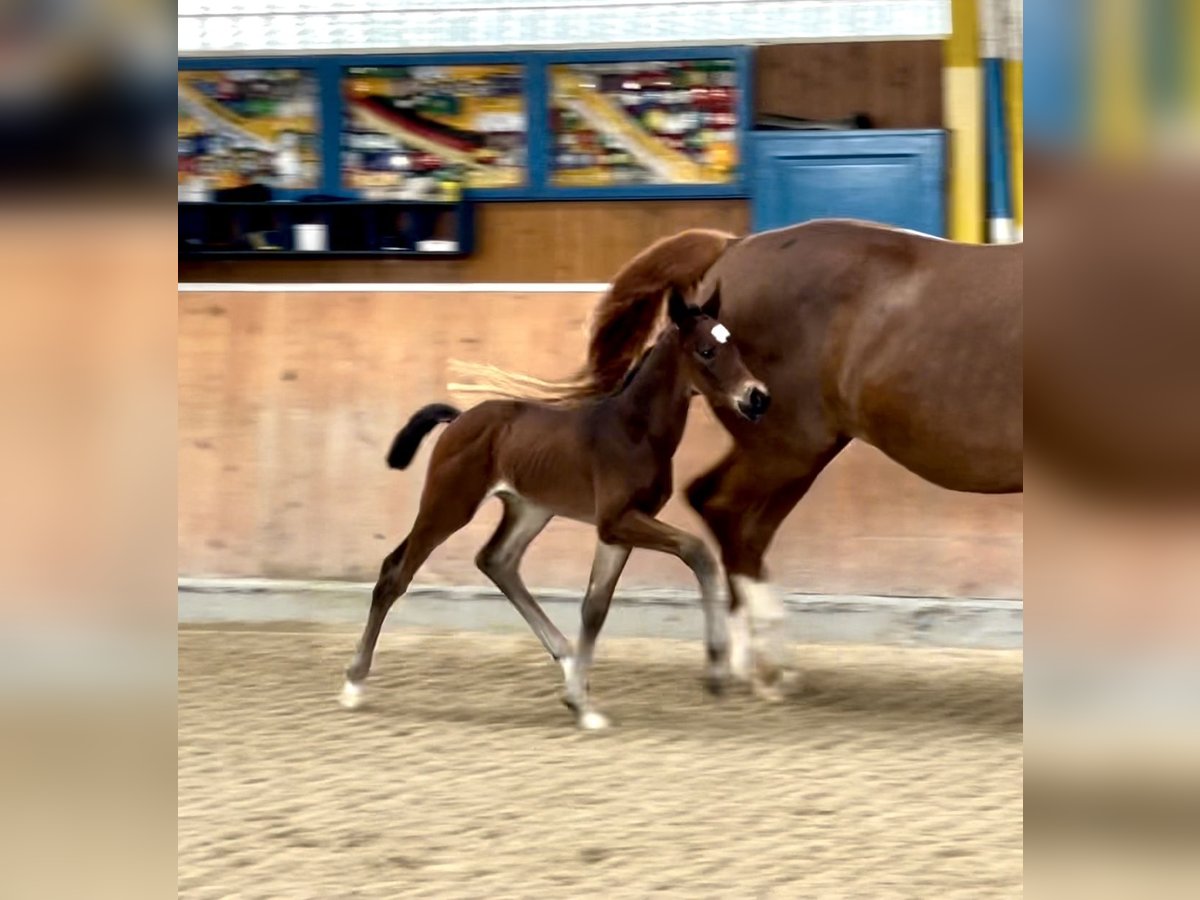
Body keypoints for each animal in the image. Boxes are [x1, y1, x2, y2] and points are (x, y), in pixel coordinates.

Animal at [338, 290, 768, 734]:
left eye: (735, 346)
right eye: (706, 350)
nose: (757, 397)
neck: (635, 431)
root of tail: (458, 419)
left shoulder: (616, 531)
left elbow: (595, 607)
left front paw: (581, 702)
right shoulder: (617, 521)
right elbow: (697, 550)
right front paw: (716, 667)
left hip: (530, 509)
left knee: (496, 561)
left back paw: (567, 661)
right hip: (450, 503)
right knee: (396, 572)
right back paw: (353, 684)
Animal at [463, 218, 1017, 696]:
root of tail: (736, 245)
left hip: (794, 450)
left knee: (739, 522)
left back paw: (750, 660)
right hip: (787, 445)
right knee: (722, 507)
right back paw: (761, 663)